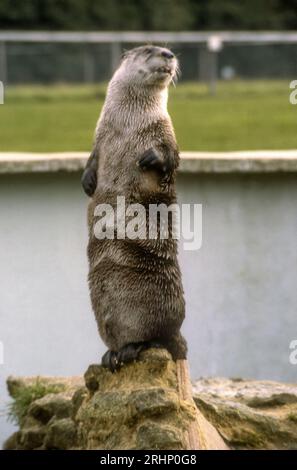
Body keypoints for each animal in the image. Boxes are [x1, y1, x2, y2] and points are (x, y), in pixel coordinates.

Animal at [82, 46, 186, 372]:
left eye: (165, 49)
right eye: (149, 50)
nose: (169, 53)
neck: (129, 123)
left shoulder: (165, 131)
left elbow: (171, 157)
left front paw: (151, 158)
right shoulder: (99, 135)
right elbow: (91, 158)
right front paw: (87, 181)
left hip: (161, 308)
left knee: (157, 338)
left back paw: (133, 349)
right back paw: (112, 355)